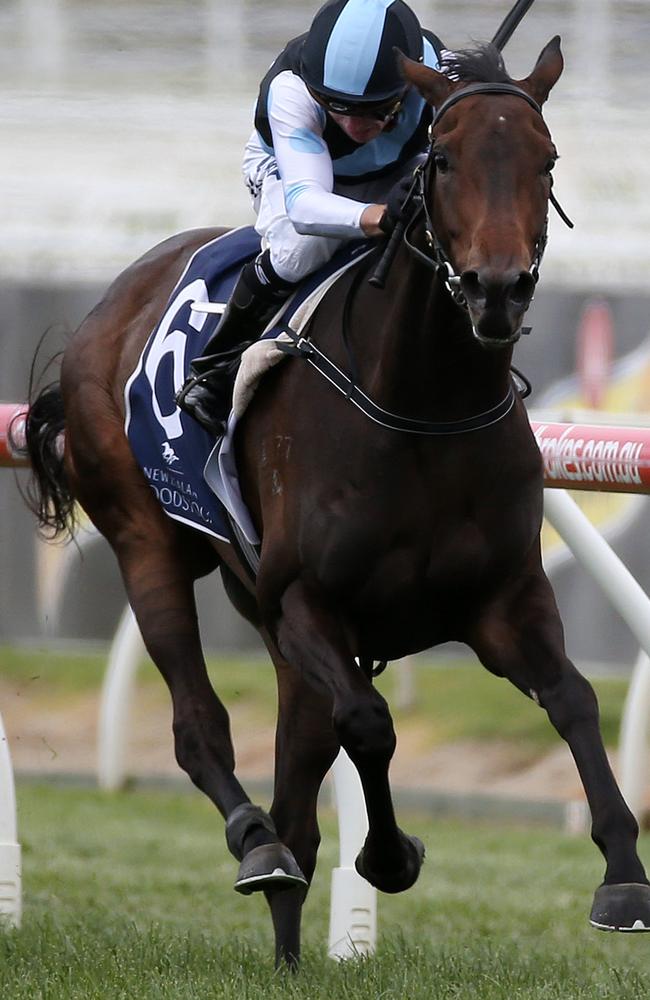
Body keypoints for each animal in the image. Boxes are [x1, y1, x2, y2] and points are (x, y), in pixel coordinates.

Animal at [20, 39, 648, 968]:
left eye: (547, 159)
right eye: (444, 159)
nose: (497, 289)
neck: (425, 407)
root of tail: (115, 295)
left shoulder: (503, 600)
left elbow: (572, 698)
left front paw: (622, 875)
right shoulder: (306, 602)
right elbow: (370, 722)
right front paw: (389, 856)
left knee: (298, 788)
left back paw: (285, 940)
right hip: (148, 543)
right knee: (202, 729)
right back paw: (255, 844)